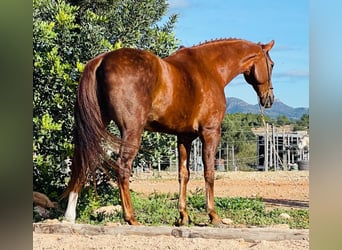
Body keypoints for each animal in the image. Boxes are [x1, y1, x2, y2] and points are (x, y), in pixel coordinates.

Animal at [63, 38, 276, 226]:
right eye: (272, 65)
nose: (270, 98)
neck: (208, 69)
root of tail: (101, 60)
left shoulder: (184, 137)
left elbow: (184, 174)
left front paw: (183, 217)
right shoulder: (210, 132)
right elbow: (209, 172)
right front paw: (213, 216)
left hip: (94, 127)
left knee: (81, 161)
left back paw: (69, 215)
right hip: (132, 132)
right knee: (122, 168)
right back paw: (131, 217)